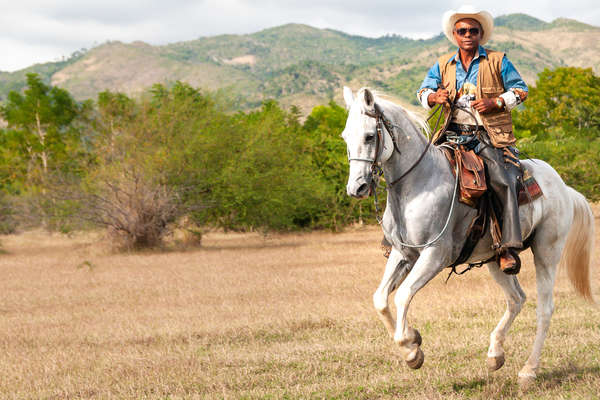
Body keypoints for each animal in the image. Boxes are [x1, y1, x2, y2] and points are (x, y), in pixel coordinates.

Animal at [342, 86, 596, 388]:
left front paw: (411, 351)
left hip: (547, 252)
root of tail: (564, 188)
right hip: (497, 259)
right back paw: (495, 354)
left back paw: (528, 370)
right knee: (516, 299)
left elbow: (402, 295)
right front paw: (414, 340)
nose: (357, 187)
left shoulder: (434, 255)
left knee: (544, 309)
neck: (418, 183)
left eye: (370, 136)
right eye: (345, 136)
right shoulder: (402, 253)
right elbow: (380, 299)